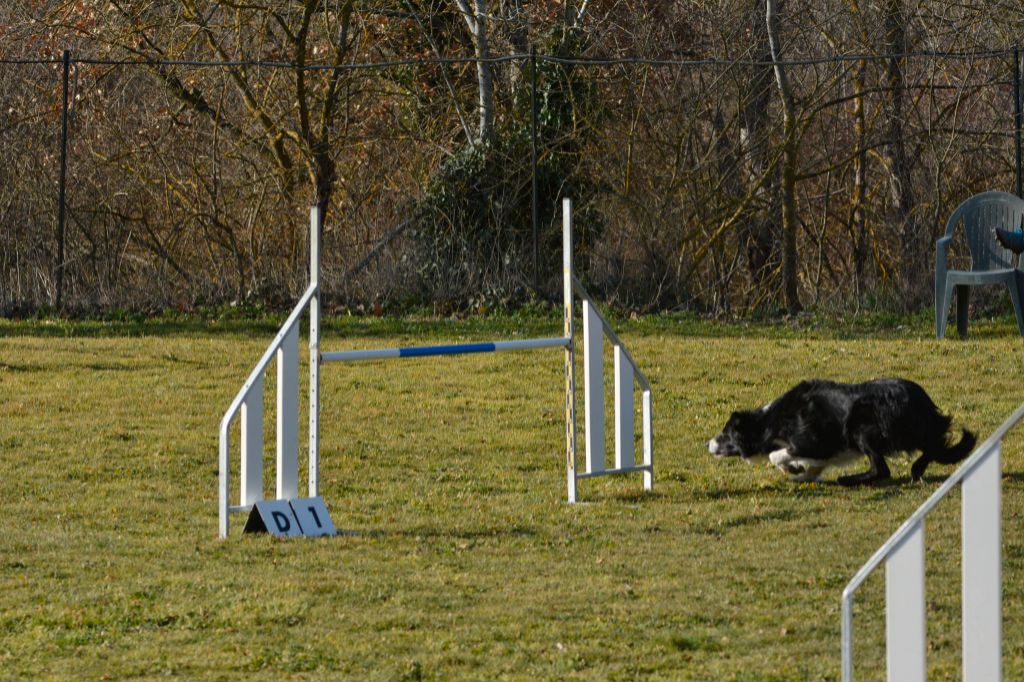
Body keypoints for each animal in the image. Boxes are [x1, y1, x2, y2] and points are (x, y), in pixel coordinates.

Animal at [704, 376, 974, 483]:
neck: (769, 420)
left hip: (861, 426)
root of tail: (923, 403)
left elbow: (776, 455)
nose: (708, 443)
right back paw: (917, 468)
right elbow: (814, 466)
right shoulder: (824, 451)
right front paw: (802, 474)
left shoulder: (812, 441)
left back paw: (848, 480)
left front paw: (792, 467)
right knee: (934, 447)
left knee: (881, 470)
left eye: (725, 433)